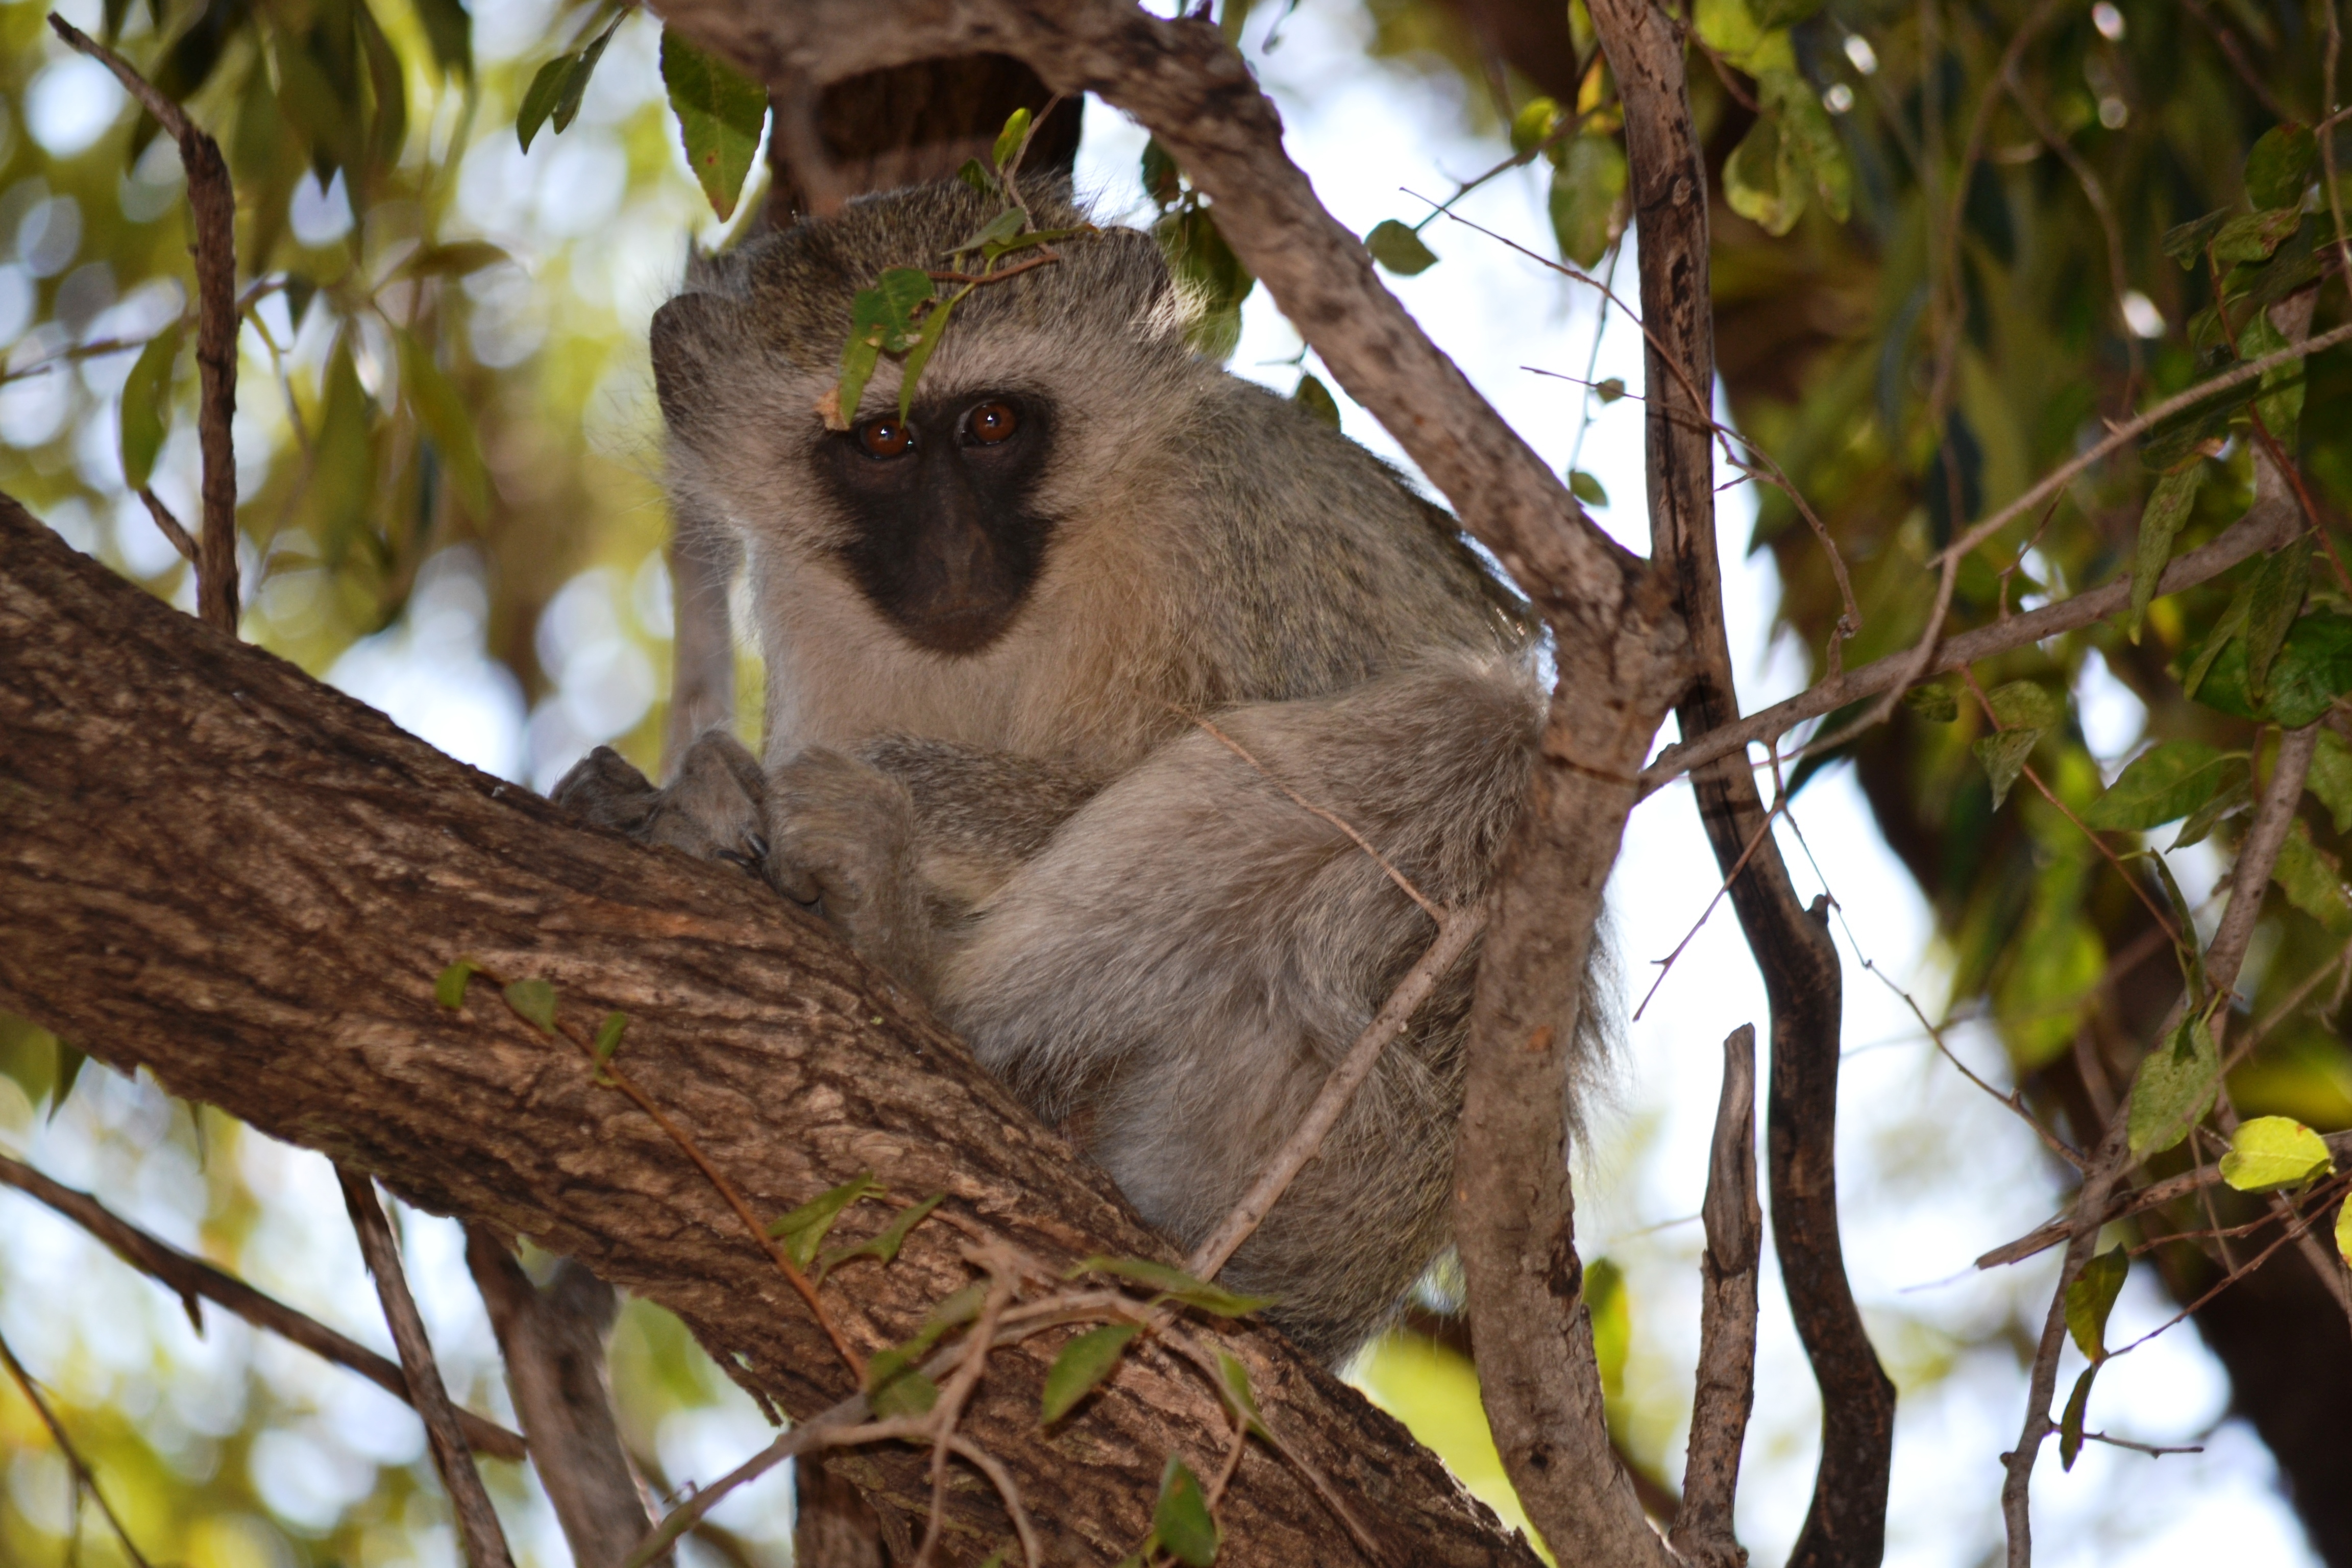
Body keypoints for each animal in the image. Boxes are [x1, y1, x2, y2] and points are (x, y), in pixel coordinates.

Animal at [559, 181, 1608, 1363]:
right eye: (881, 439)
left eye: (991, 424)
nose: (954, 559)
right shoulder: (805, 596)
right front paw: (680, 802)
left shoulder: (1227, 517)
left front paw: (738, 795)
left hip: (1341, 1124)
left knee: (1484, 734)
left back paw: (910, 961)